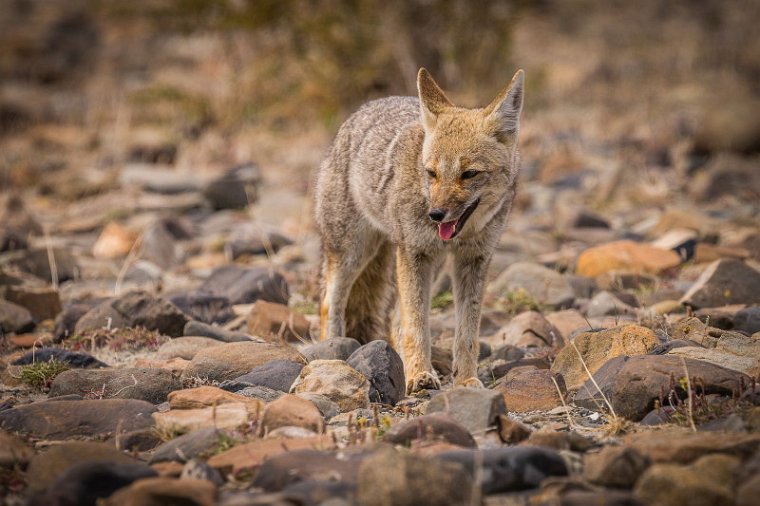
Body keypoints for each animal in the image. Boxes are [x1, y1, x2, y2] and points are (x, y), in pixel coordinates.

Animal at [314, 67, 524, 394]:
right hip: (354, 253)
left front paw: (466, 380)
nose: (435, 215)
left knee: (395, 317)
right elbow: (417, 326)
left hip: (430, 267)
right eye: (431, 173)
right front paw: (418, 375)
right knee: (330, 303)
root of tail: (363, 110)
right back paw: (332, 352)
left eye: (469, 174)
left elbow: (467, 333)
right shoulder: (413, 253)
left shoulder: (474, 260)